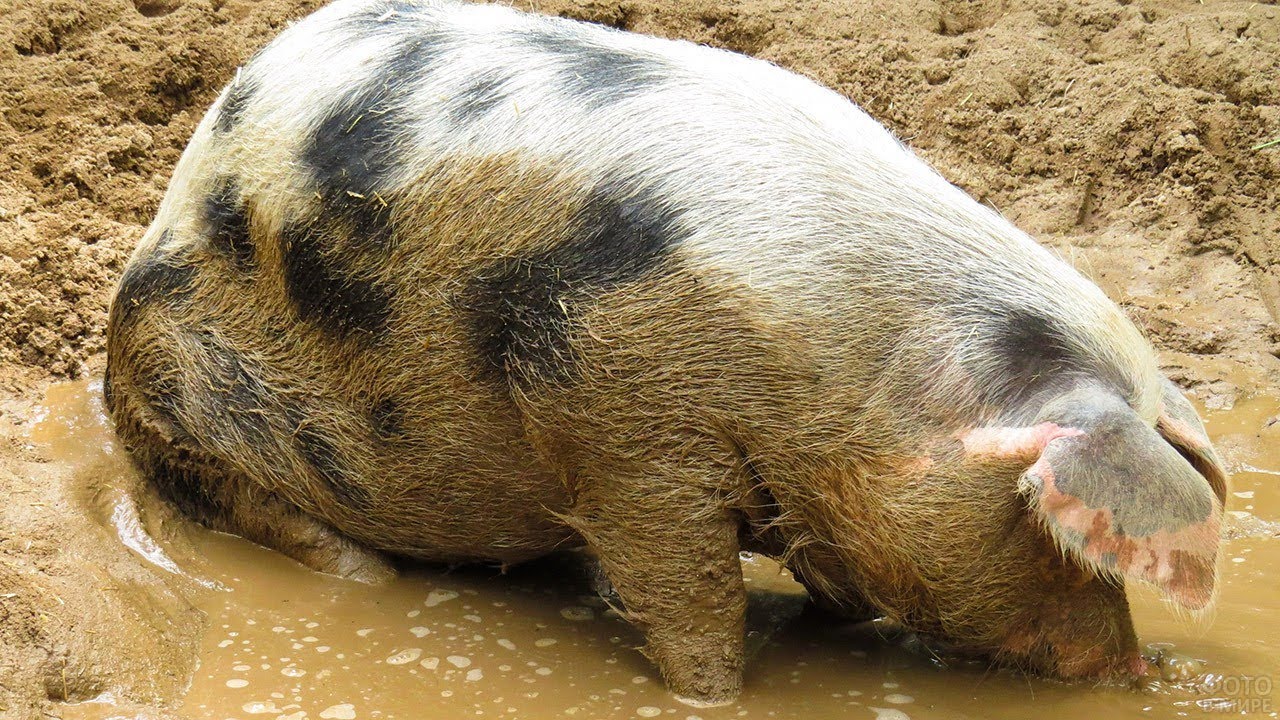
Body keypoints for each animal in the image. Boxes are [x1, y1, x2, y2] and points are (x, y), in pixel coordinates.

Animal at [103, 0, 1229, 705]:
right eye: (1051, 537)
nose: (1140, 673)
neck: (858, 368)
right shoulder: (617, 415)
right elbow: (687, 593)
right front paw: (716, 694)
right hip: (174, 384)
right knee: (265, 514)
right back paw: (360, 569)